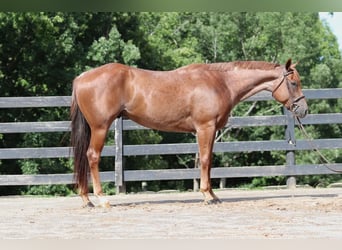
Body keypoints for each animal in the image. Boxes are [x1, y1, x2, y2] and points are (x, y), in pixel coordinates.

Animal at [71, 58, 308, 207]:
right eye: (293, 83)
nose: (303, 110)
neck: (221, 82)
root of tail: (81, 77)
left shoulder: (210, 130)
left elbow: (209, 162)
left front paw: (213, 195)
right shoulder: (205, 127)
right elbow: (204, 160)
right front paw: (207, 196)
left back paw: (86, 199)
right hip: (100, 127)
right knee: (92, 156)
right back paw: (102, 199)